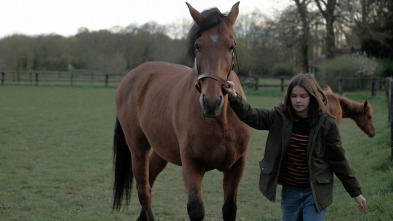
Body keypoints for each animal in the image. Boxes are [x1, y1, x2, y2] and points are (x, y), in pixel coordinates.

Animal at [111, 2, 251, 221]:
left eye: (231, 46)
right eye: (197, 46)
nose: (211, 102)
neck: (222, 123)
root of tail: (132, 76)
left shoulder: (237, 166)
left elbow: (229, 209)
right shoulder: (191, 165)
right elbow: (196, 208)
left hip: (161, 150)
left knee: (149, 181)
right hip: (137, 148)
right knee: (144, 192)